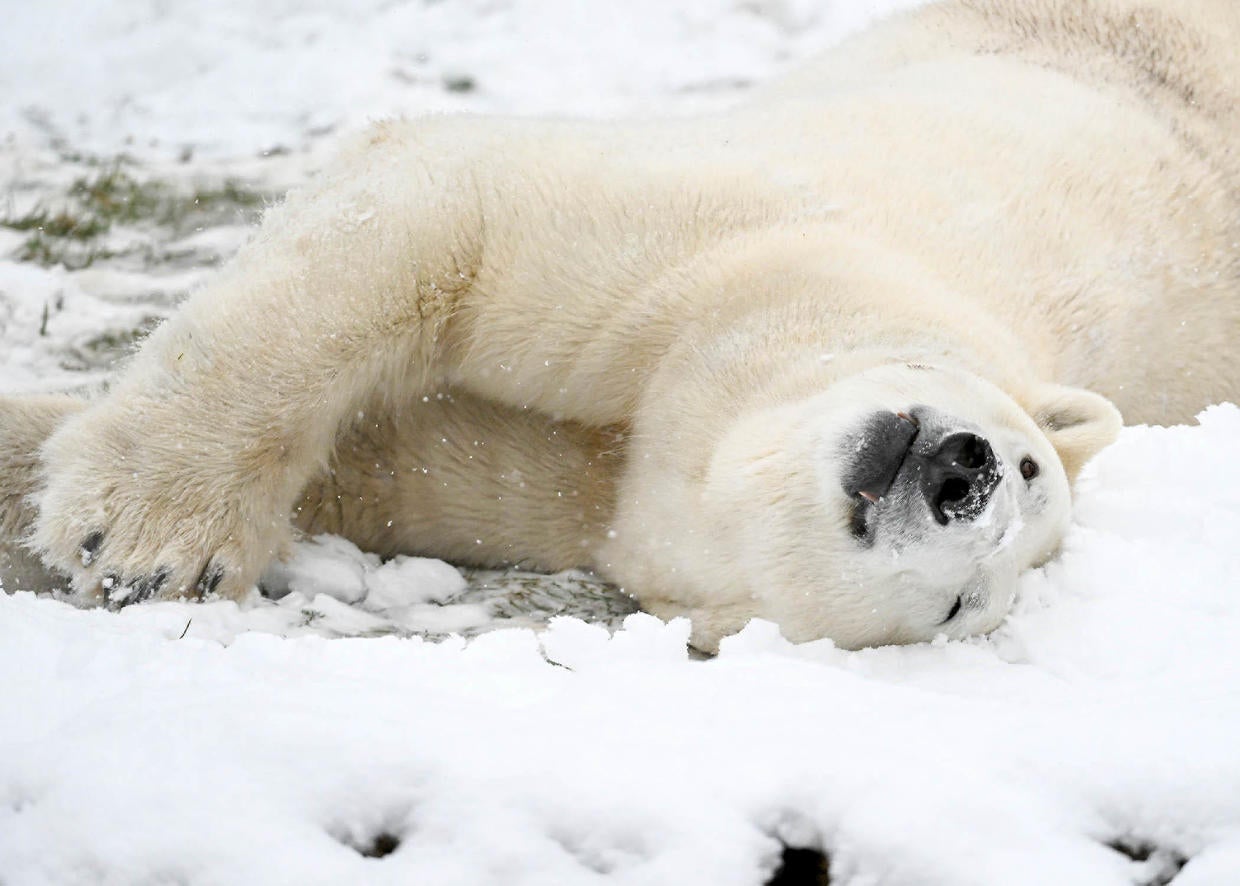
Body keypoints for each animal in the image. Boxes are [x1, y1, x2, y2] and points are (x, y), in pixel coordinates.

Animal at [0, 0, 1235, 649]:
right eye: (1025, 461)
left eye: (959, 603)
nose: (960, 469)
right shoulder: (755, 238)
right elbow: (447, 213)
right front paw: (136, 530)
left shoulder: (595, 497)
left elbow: (406, 459)